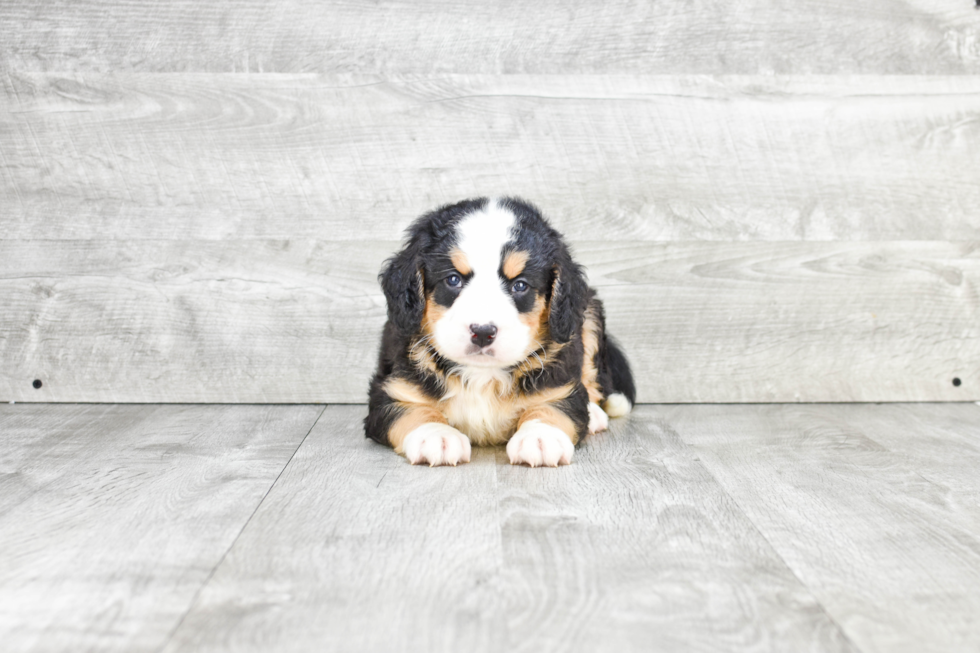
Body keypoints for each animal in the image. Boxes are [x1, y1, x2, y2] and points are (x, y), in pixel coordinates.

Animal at [366, 196, 636, 466]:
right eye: (453, 280)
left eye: (520, 285)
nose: (483, 332)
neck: (483, 375)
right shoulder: (390, 388)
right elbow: (411, 409)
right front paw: (436, 435)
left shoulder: (561, 381)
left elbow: (553, 405)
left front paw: (540, 436)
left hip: (590, 314)